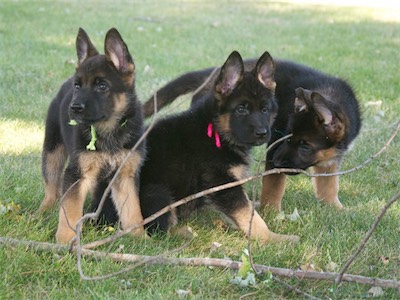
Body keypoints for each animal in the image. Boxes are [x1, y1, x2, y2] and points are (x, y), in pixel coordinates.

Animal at [38, 27, 145, 244]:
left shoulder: (125, 176)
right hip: (52, 150)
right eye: (78, 86)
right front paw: (65, 241)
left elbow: (133, 211)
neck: (109, 129)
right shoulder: (76, 174)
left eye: (102, 86)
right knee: (51, 188)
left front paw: (141, 238)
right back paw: (42, 211)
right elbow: (69, 210)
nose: (74, 108)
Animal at [142, 57, 360, 211]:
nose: (277, 162)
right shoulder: (273, 147)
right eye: (287, 136)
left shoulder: (331, 157)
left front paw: (335, 208)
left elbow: (329, 184)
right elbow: (273, 185)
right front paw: (271, 213)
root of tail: (210, 76)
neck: (331, 94)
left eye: (305, 145)